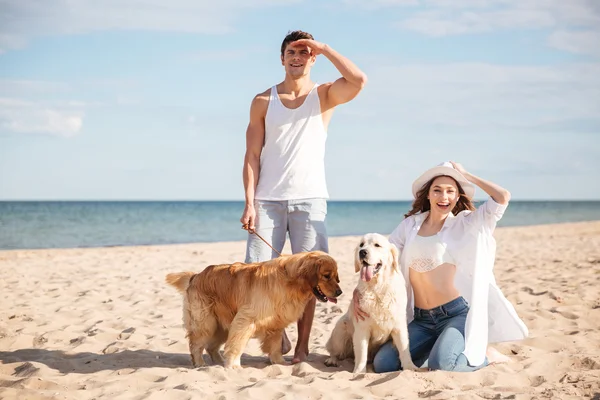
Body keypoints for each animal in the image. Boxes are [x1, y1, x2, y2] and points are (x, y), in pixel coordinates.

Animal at [165, 250, 342, 368]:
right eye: (326, 275)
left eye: (336, 276)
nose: (340, 292)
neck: (289, 280)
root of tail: (195, 276)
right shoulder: (245, 320)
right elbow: (237, 344)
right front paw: (233, 365)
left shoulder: (275, 322)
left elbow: (275, 345)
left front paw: (279, 362)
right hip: (206, 322)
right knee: (196, 344)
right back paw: (200, 363)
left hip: (221, 325)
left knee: (211, 347)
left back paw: (218, 363)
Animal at [324, 233, 418, 374]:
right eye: (361, 245)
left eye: (377, 245)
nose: (362, 252)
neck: (377, 287)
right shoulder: (362, 328)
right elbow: (362, 352)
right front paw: (359, 372)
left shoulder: (399, 326)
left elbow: (404, 348)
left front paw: (410, 367)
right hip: (341, 328)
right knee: (334, 350)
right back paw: (332, 360)